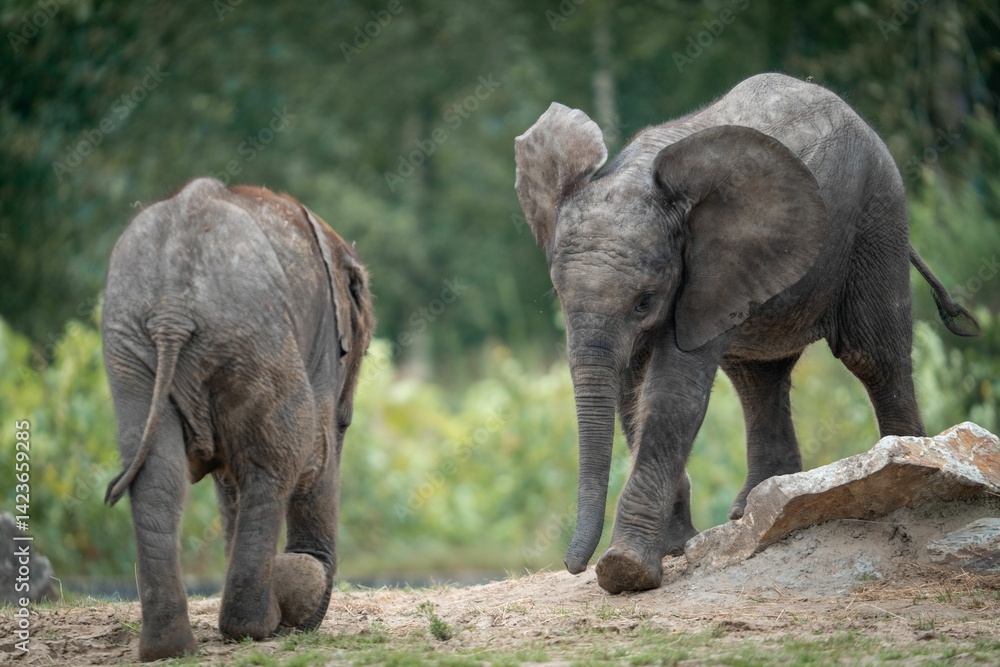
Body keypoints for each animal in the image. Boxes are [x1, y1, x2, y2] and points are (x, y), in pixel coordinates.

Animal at [102, 177, 374, 661]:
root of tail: (172, 307)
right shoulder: (321, 341)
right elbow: (314, 456)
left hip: (135, 345)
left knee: (158, 476)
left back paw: (170, 648)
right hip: (253, 335)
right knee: (280, 457)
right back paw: (256, 626)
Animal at [513, 73, 980, 595]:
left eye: (644, 300)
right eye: (557, 293)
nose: (572, 564)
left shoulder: (708, 271)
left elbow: (671, 394)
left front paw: (625, 570)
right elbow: (632, 394)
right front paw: (672, 548)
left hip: (878, 213)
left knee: (873, 356)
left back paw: (907, 471)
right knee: (757, 376)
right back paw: (750, 512)